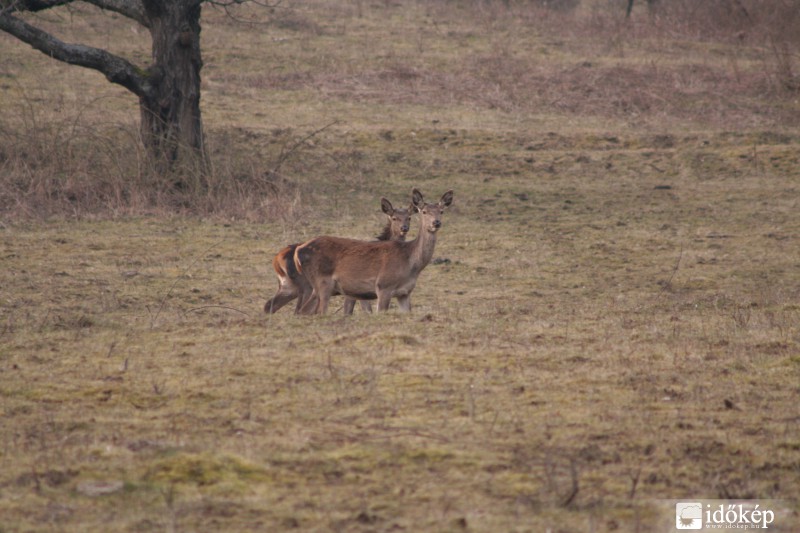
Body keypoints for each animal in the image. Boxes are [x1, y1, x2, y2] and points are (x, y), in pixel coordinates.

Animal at [266, 197, 412, 314]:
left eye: (409, 217)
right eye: (394, 218)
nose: (404, 228)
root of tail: (277, 260)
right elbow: (360, 310)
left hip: (288, 286)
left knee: (270, 304)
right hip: (305, 286)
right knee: (298, 310)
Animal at [296, 188, 456, 314]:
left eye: (442, 211)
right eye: (424, 211)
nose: (436, 222)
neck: (411, 264)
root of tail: (299, 251)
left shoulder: (405, 293)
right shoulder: (383, 287)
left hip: (317, 287)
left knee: (304, 311)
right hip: (322, 282)